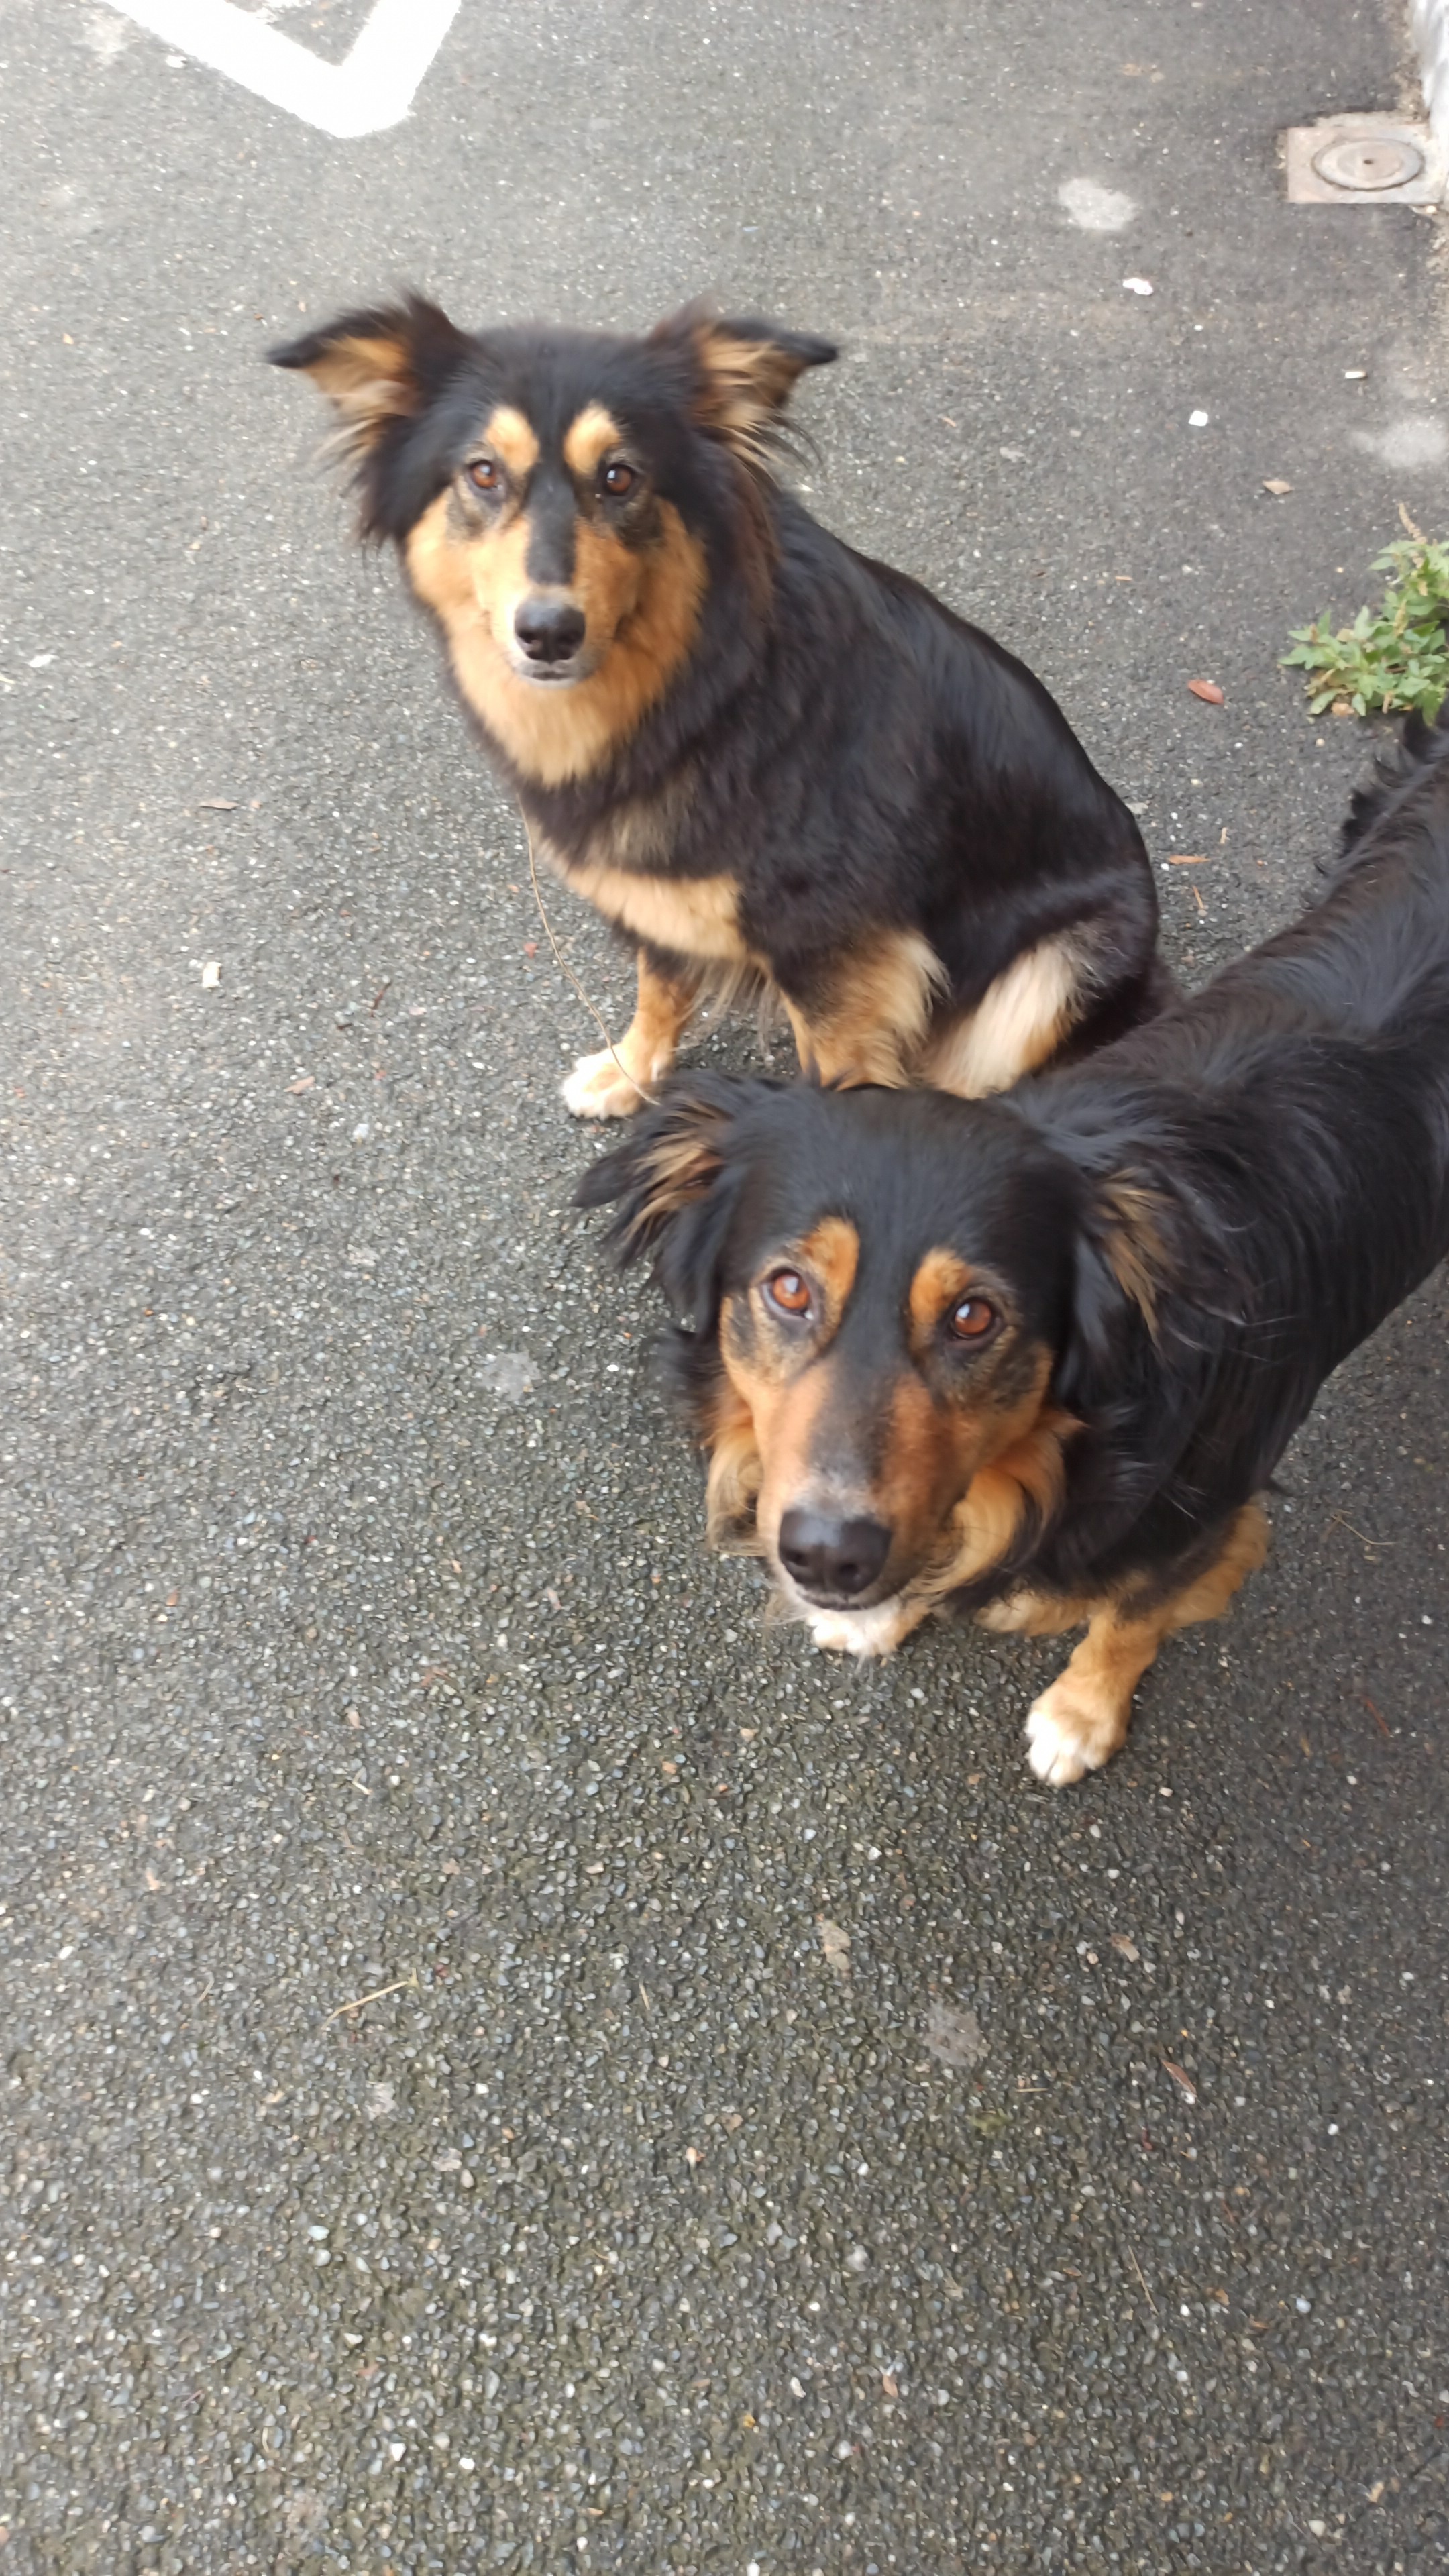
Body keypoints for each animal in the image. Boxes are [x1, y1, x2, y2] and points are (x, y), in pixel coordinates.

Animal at [270, 295, 1166, 1116]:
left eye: (620, 476)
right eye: (483, 473)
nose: (548, 633)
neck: (699, 690)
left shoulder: (842, 956)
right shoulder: (654, 897)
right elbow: (659, 988)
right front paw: (630, 1072)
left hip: (1058, 970)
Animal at [580, 714, 1449, 1783]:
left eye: (974, 1316)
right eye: (787, 1290)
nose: (826, 1557)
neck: (1057, 1458)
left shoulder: (1207, 1528)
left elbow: (1128, 1621)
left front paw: (1081, 1715)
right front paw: (882, 1617)